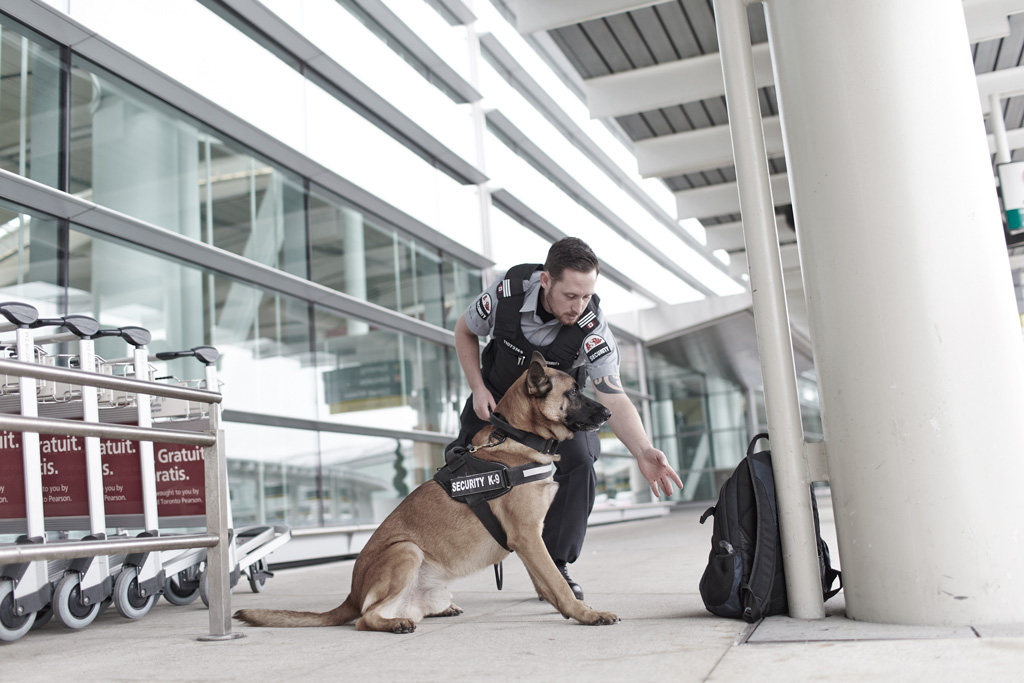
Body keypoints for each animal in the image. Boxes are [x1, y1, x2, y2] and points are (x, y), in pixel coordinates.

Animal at [232, 352, 614, 634]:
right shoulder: (527, 537)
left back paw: (434, 610)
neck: (518, 437)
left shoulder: (528, 541)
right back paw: (394, 622)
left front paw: (566, 606)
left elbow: (547, 580)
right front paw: (585, 612)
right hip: (406, 550)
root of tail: (352, 595)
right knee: (364, 618)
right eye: (573, 393)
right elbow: (555, 581)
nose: (609, 411)